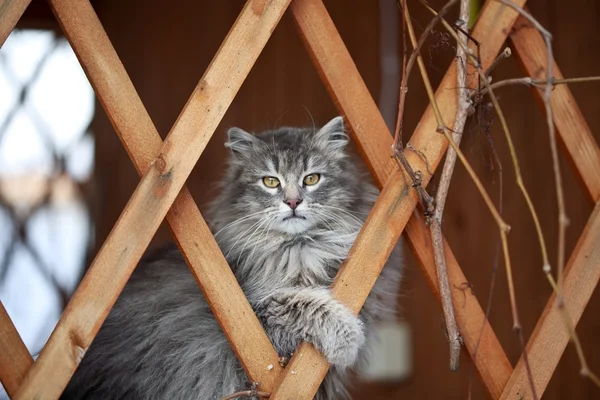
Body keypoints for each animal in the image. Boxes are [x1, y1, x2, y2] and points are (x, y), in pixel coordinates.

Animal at [61, 116, 404, 400]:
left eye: (311, 179)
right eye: (270, 182)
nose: (293, 202)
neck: (299, 250)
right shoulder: (258, 316)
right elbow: (306, 304)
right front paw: (348, 336)